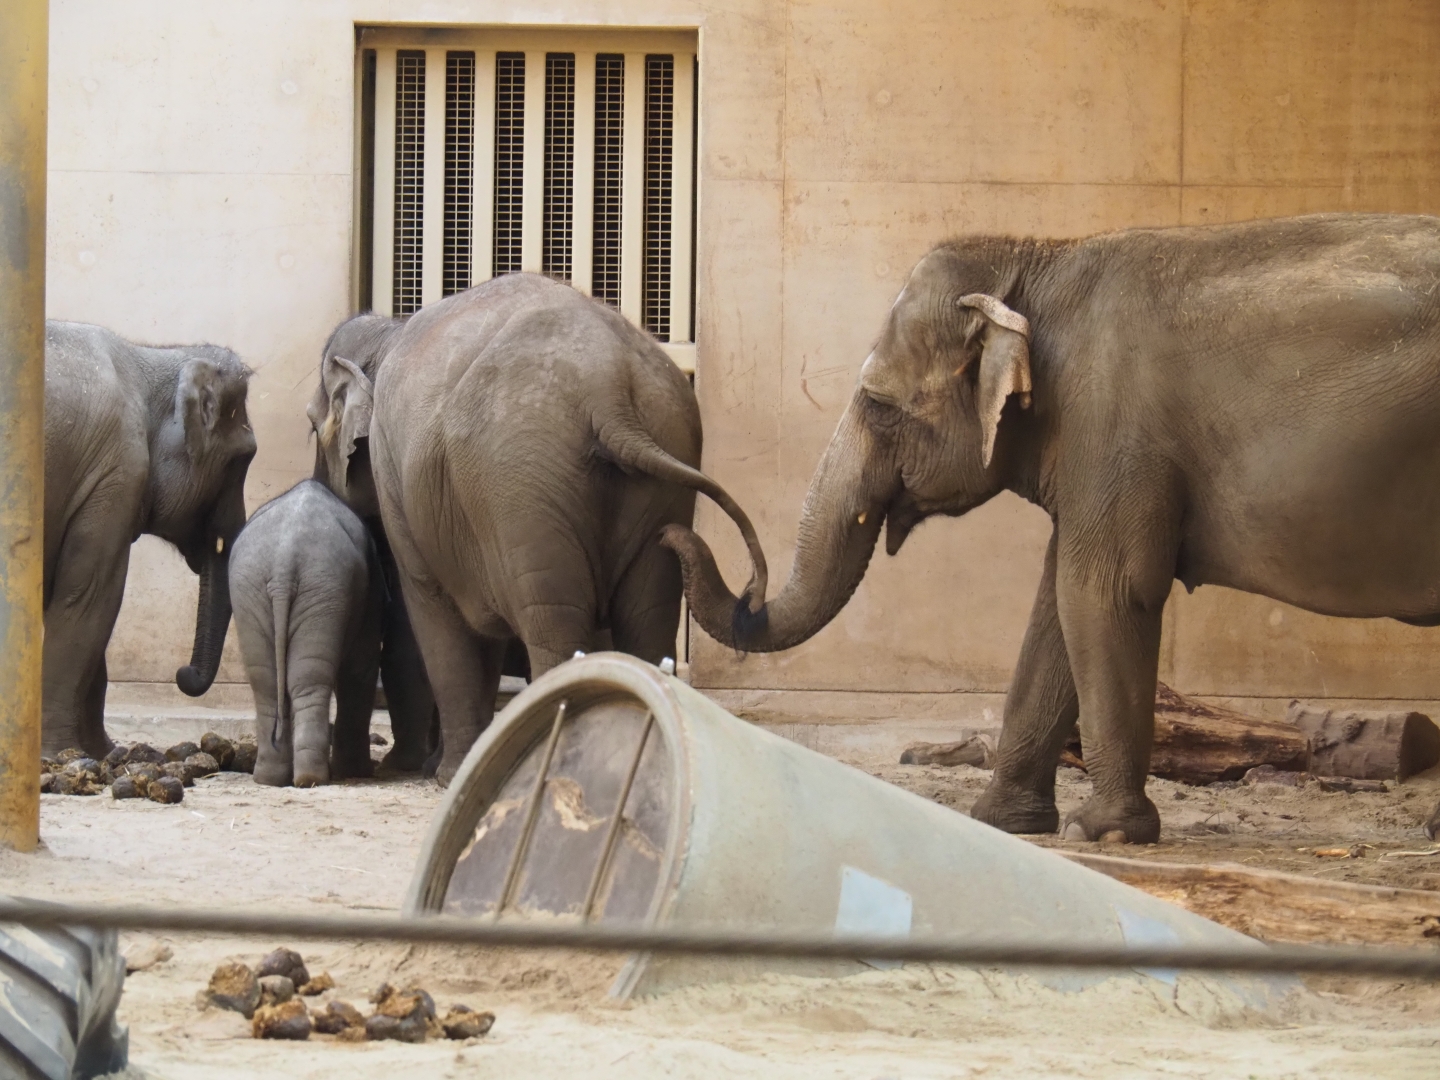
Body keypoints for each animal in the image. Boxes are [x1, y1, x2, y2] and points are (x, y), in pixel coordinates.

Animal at [43, 321, 255, 757]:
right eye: (241, 460)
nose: (183, 672)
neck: (151, 359)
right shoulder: (117, 475)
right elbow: (89, 596)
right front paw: (61, 756)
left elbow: (89, 609)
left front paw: (106, 754)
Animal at [229, 480, 381, 786]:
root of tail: (284, 561)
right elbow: (361, 666)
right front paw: (357, 771)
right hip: (312, 587)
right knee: (305, 680)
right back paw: (308, 778)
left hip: (260, 588)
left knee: (269, 681)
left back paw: (274, 778)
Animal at [314, 272, 766, 783]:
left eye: (313, 426)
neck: (389, 330)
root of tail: (607, 385)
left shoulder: (400, 489)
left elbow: (433, 616)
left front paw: (449, 774)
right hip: (655, 460)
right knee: (647, 619)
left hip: (519, 481)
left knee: (553, 624)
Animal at [661, 212, 1440, 845]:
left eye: (878, 404)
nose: (672, 537)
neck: (1040, 256)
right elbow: (1053, 608)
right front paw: (998, 821)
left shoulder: (1111, 426)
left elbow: (1099, 592)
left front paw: (1105, 832)